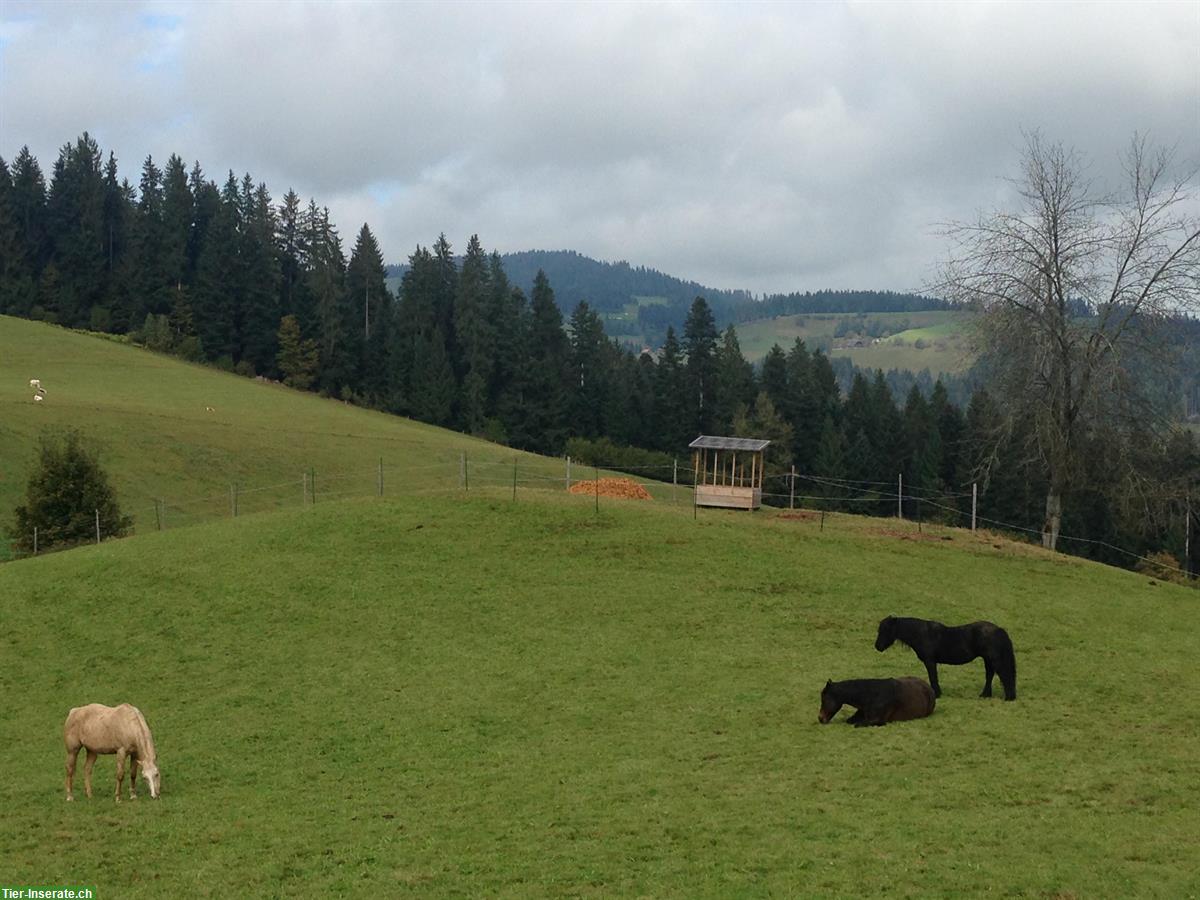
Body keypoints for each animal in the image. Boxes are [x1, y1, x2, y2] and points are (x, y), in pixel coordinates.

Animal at [878, 619, 1017, 705]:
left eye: (885, 629)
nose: (877, 646)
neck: (923, 634)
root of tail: (998, 630)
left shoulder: (930, 661)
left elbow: (933, 677)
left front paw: (937, 694)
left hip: (994, 660)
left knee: (1005, 676)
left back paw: (1008, 697)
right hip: (987, 659)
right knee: (990, 675)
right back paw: (985, 695)